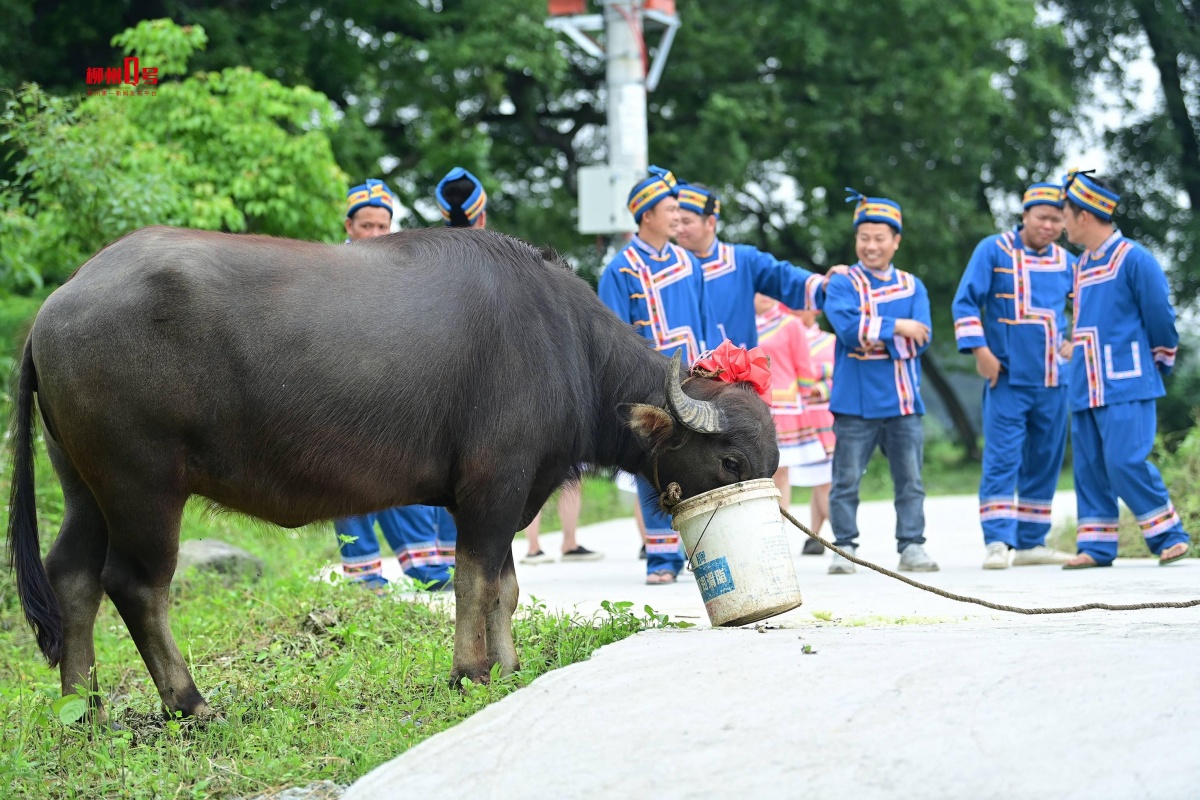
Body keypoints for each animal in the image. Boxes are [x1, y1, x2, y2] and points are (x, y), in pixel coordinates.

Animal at [7, 225, 777, 719]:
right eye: (731, 460)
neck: (568, 348)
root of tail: (56, 306)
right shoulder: (492, 486)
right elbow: (475, 579)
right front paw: (469, 673)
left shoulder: (514, 493)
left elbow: (506, 586)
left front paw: (508, 665)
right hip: (142, 483)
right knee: (137, 586)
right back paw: (190, 704)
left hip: (84, 486)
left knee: (73, 577)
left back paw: (86, 707)